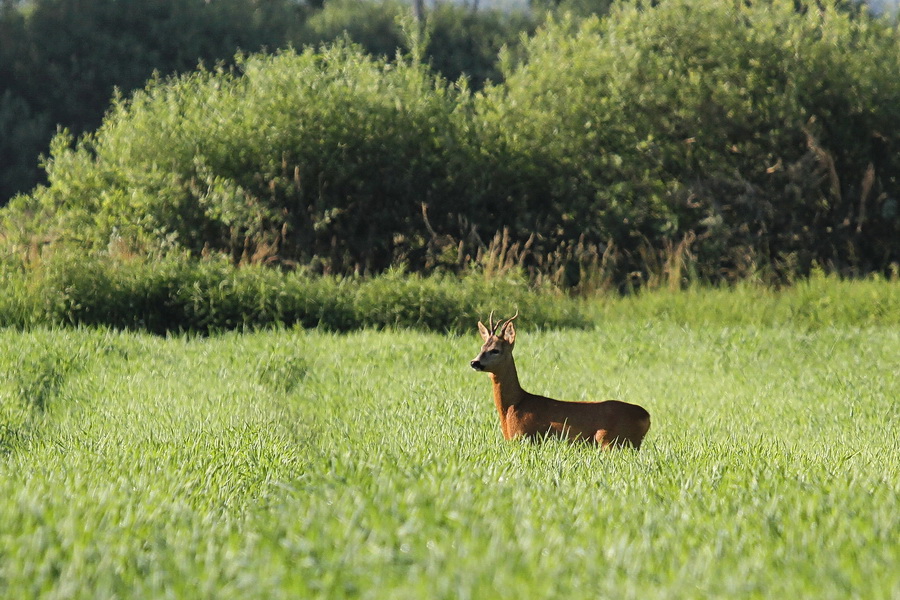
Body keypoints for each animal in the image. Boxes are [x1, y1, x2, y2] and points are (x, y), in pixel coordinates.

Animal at [468, 312, 652, 448]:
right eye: (482, 347)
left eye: (495, 350)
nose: (474, 362)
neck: (514, 406)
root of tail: (646, 416)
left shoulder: (525, 437)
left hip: (610, 440)